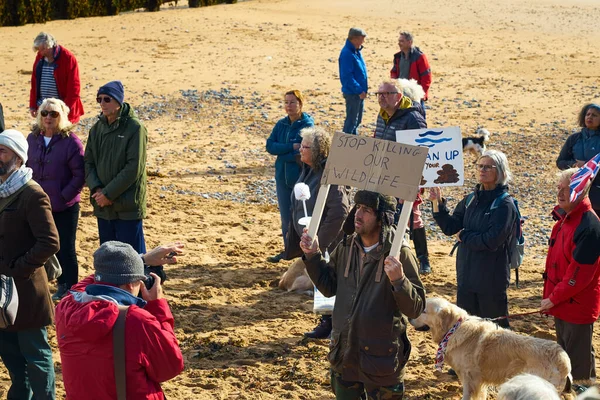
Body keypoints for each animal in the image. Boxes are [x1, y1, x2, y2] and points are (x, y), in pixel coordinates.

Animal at [408, 298, 572, 398]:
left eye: (423, 311)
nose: (409, 317)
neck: (454, 328)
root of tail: (563, 359)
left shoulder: (470, 377)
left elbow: (467, 395)